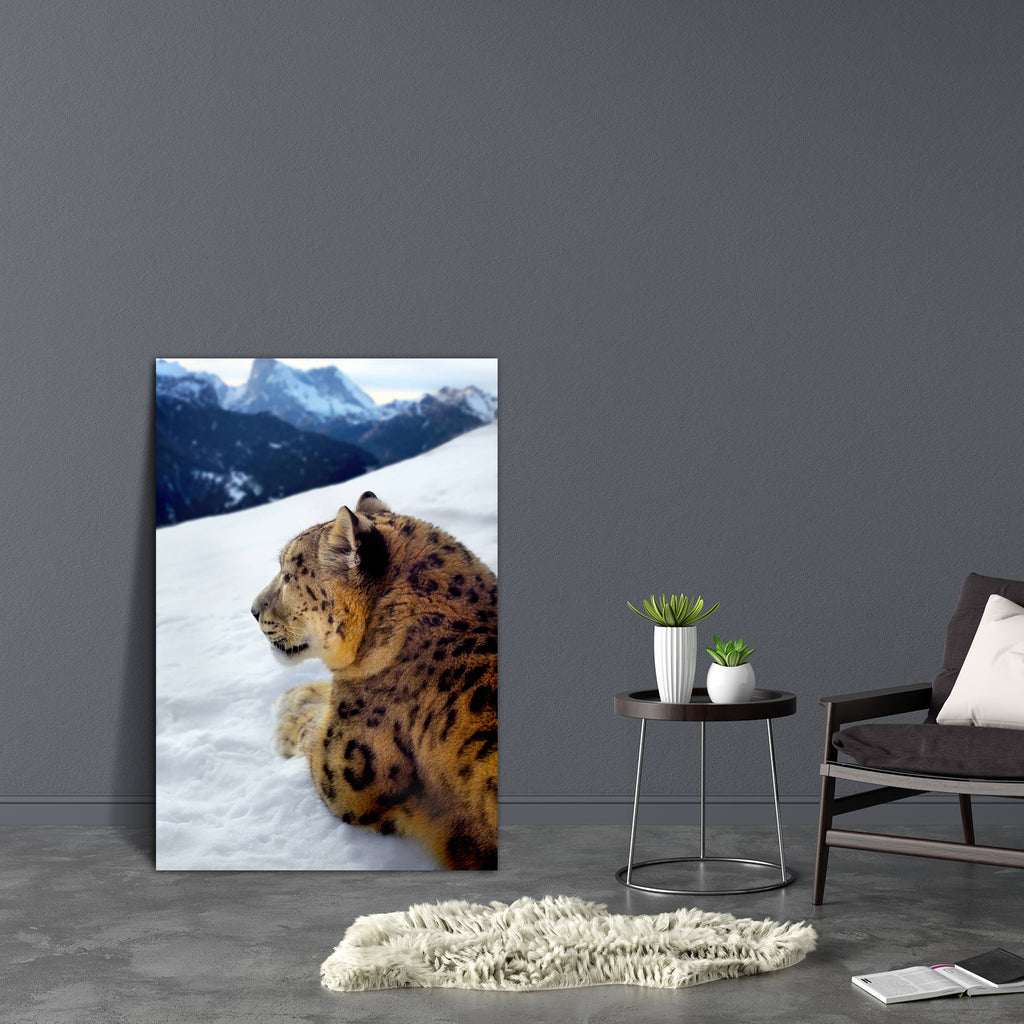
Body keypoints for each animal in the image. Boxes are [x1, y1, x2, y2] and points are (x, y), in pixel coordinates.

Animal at [250, 490, 497, 869]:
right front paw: (297, 693)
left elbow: (311, 731)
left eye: (289, 575)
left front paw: (288, 718)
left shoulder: (341, 774)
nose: (253, 610)